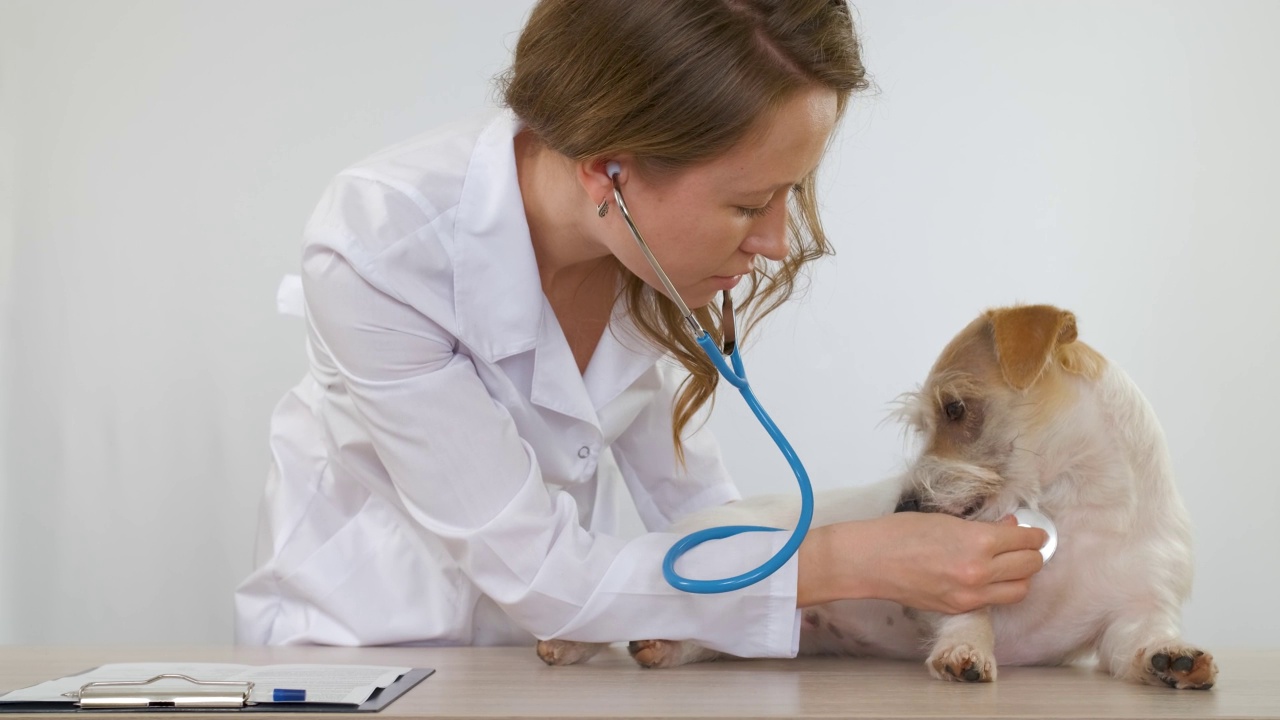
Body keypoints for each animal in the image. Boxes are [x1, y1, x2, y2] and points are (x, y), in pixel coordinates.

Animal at [535, 302, 1213, 691]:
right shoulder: (961, 589)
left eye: (955, 408)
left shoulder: (1134, 615)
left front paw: (1175, 659)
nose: (902, 509)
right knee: (617, 602)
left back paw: (660, 647)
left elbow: (1140, 643)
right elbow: (970, 617)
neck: (1082, 512)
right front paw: (966, 650)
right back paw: (569, 641)